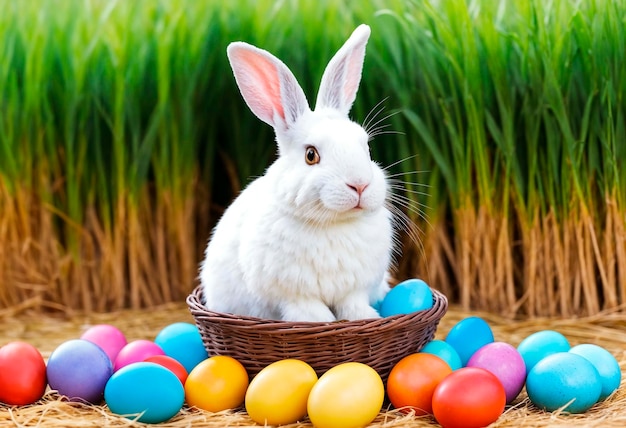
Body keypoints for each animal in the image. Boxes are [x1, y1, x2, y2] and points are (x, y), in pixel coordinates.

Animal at [197, 21, 392, 320]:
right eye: (311, 155)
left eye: (366, 147)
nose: (359, 185)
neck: (333, 224)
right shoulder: (295, 295)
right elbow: (310, 312)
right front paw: (322, 322)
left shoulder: (354, 290)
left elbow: (353, 304)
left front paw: (366, 318)